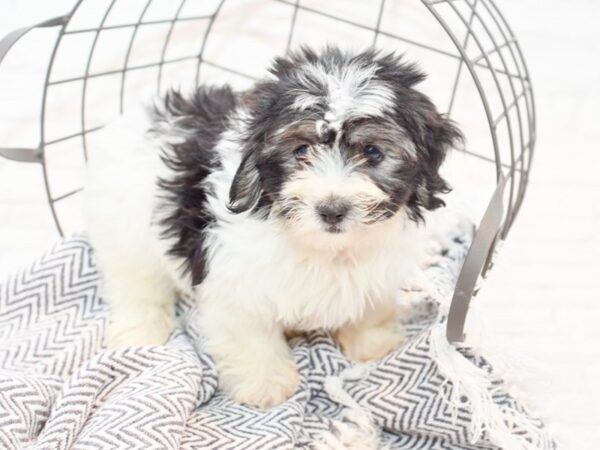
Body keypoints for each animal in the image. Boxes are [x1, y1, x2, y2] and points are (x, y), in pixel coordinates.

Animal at [83, 45, 460, 408]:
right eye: (301, 150)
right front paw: (265, 383)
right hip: (127, 230)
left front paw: (374, 342)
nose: (332, 210)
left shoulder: (375, 272)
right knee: (136, 283)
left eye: (373, 152)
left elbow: (370, 305)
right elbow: (251, 334)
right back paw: (141, 329)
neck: (322, 248)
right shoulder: (236, 284)